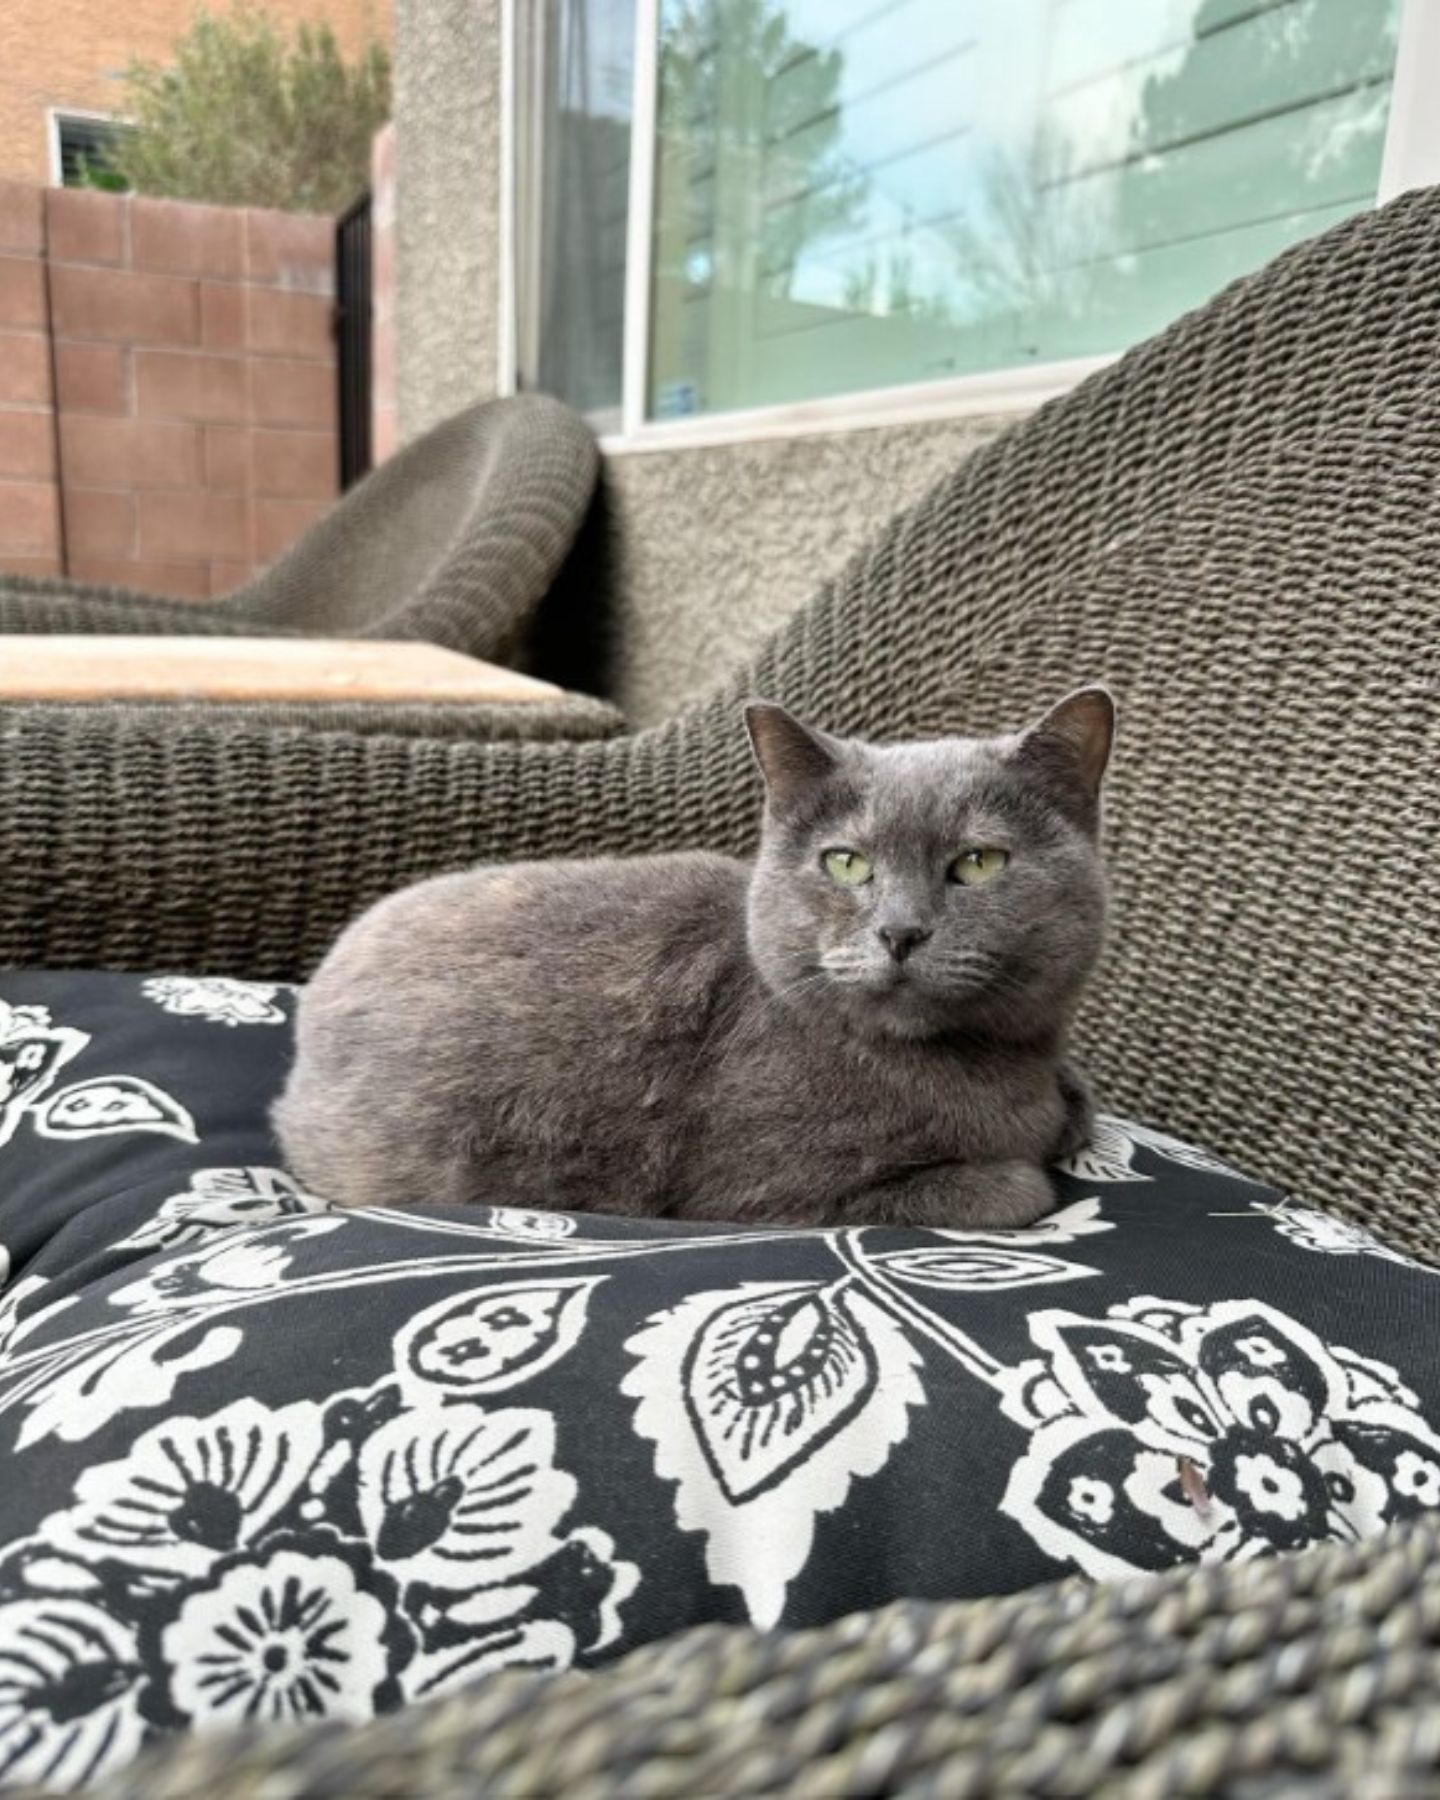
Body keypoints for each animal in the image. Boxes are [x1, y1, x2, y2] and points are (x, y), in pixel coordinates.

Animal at [279, 680, 1116, 1231]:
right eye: (847, 864)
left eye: (979, 863)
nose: (900, 931)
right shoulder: (761, 1186)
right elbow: (1015, 1189)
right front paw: (1031, 1157)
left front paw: (1067, 1106)